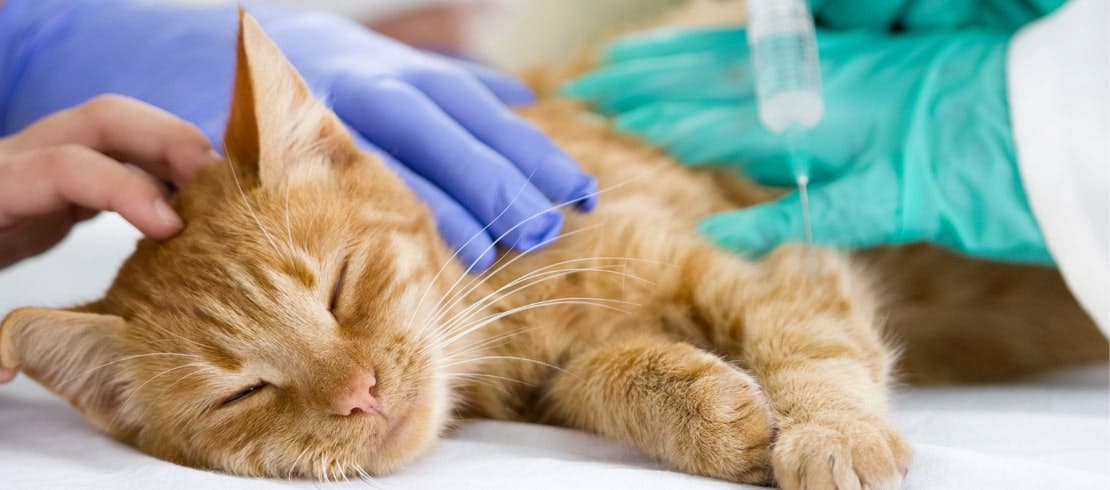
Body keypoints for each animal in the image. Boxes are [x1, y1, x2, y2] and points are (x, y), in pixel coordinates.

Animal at [2, 11, 1101, 488]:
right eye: (244, 393)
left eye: (342, 288)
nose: (360, 394)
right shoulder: (556, 379)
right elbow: (610, 378)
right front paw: (714, 415)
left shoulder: (778, 261)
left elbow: (816, 351)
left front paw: (829, 434)